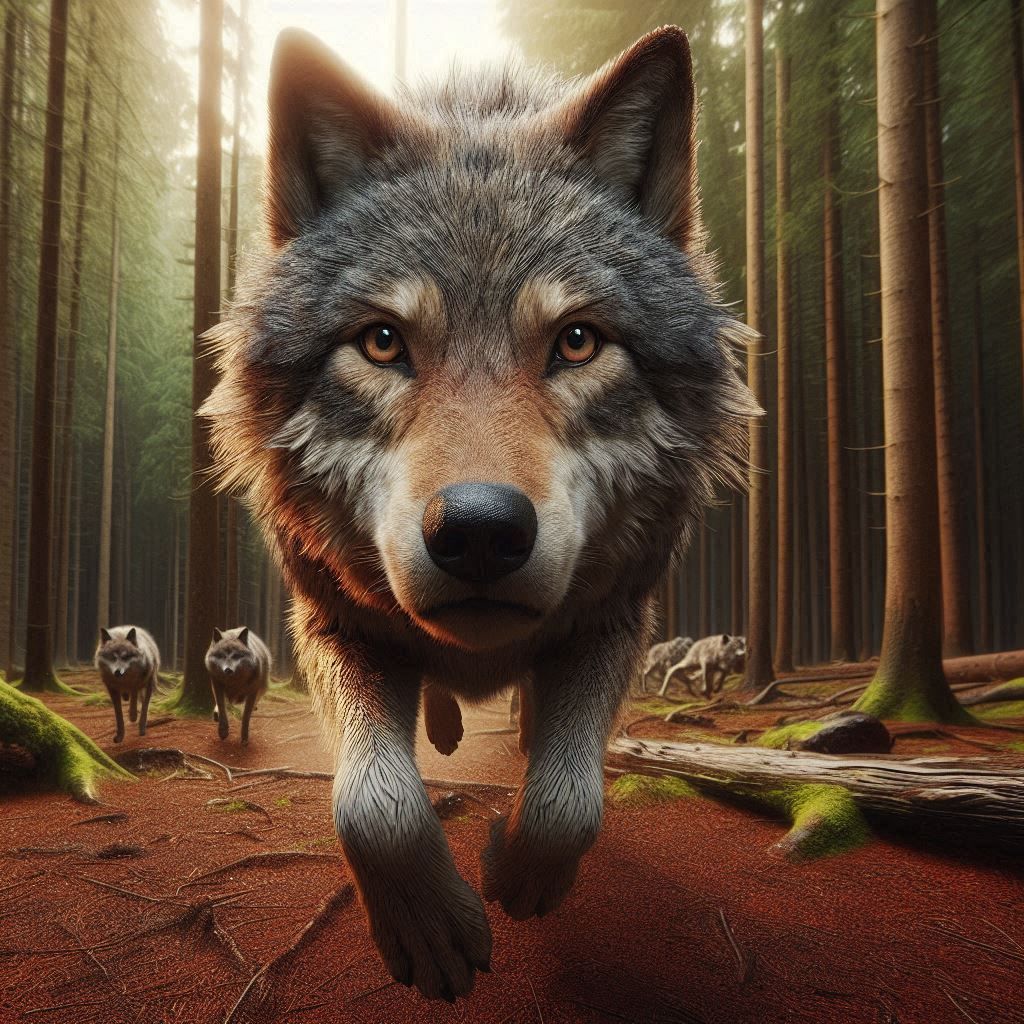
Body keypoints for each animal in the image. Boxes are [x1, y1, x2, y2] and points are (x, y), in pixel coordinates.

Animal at [201, 25, 757, 1000]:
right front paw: (430, 927)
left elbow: (570, 800)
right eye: (383, 341)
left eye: (578, 341)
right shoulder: (333, 621)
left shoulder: (616, 616)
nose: (480, 531)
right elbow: (372, 805)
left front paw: (519, 872)